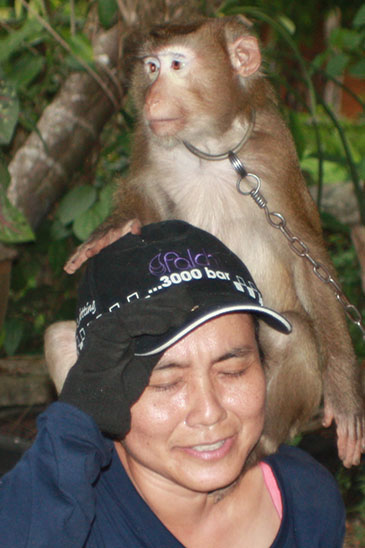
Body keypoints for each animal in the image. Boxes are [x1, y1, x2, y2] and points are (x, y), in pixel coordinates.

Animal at [47, 16, 362, 466]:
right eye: (151, 68)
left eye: (177, 65)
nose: (151, 98)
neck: (210, 148)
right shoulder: (149, 143)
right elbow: (145, 198)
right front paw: (113, 229)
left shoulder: (275, 155)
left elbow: (308, 261)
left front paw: (344, 390)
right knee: (60, 338)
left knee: (296, 335)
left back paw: (257, 447)